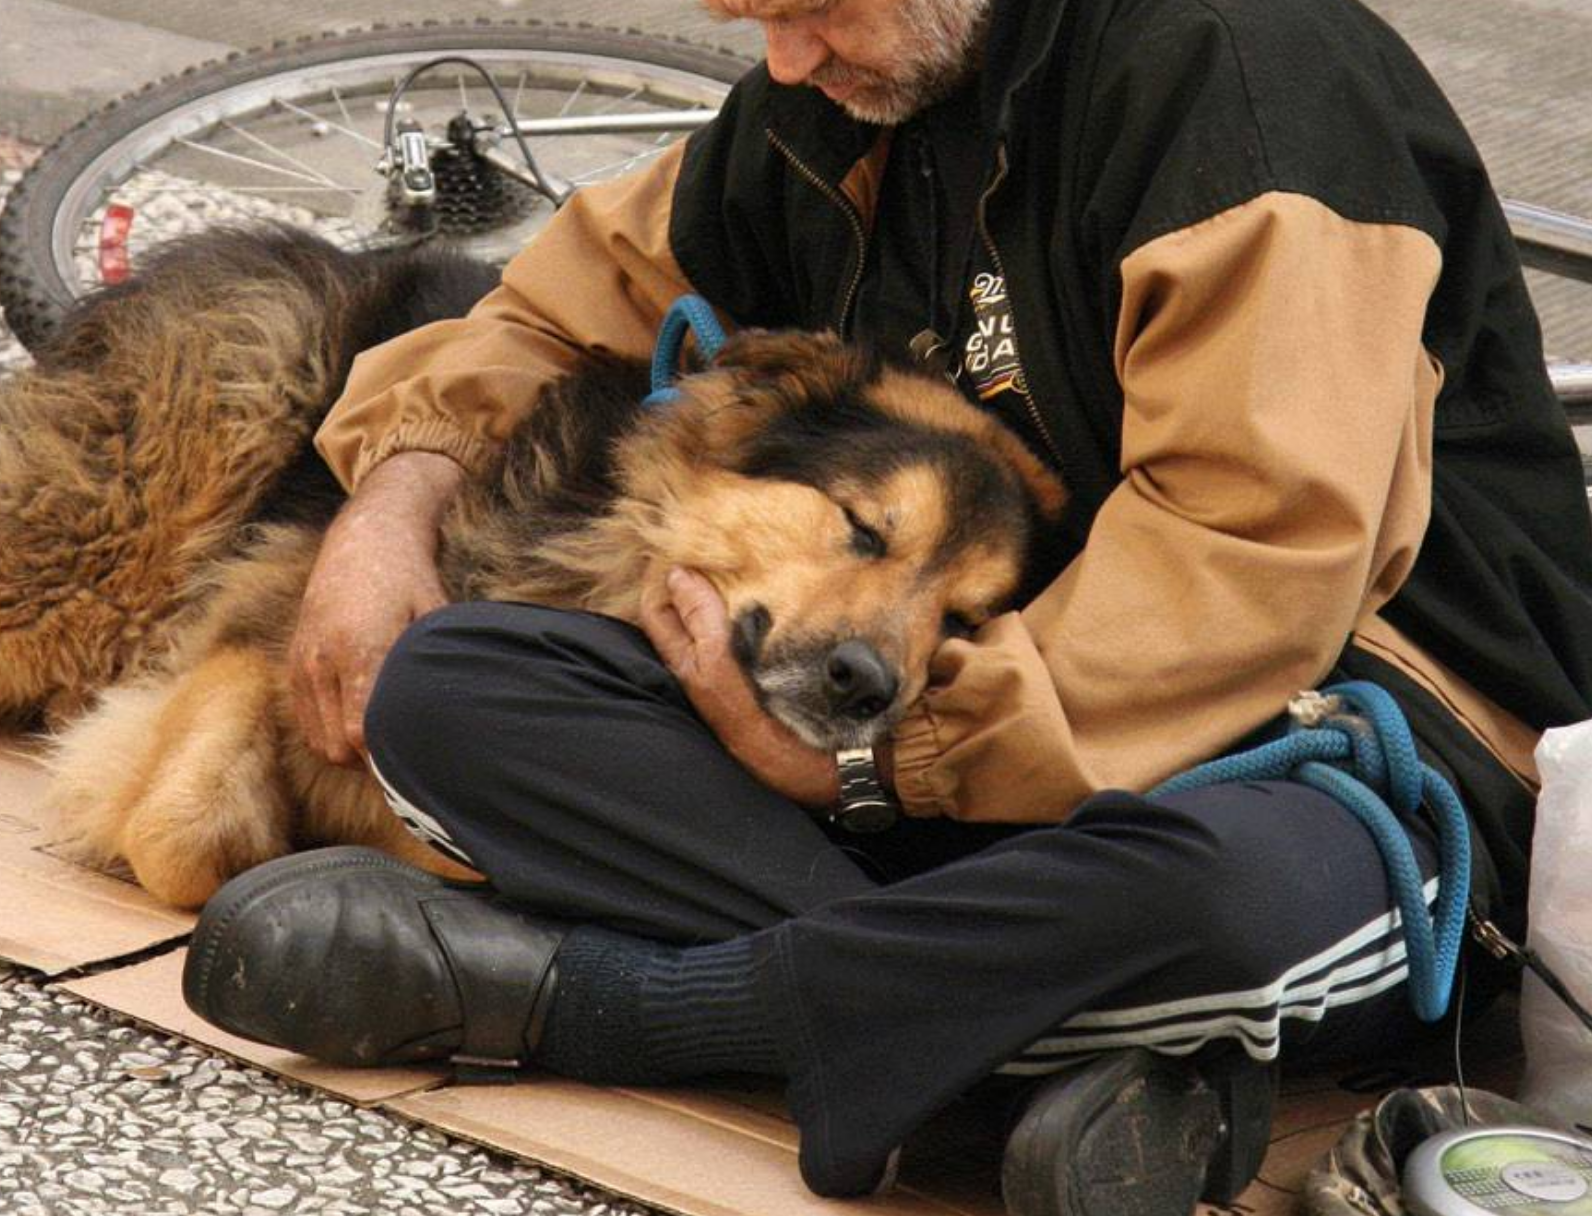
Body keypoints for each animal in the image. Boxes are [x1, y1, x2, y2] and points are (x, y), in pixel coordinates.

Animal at [3, 230, 1069, 910]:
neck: (613, 555)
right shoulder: (289, 625)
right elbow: (185, 826)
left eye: (965, 622)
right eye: (864, 530)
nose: (867, 685)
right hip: (117, 536)